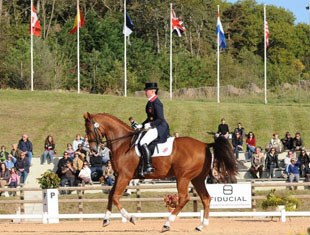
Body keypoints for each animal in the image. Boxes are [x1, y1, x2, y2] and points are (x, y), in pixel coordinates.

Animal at [83, 113, 237, 232]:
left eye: (89, 130)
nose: (94, 150)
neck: (123, 143)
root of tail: (205, 145)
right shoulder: (118, 176)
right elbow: (110, 196)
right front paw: (106, 220)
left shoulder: (124, 176)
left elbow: (115, 197)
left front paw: (131, 218)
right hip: (197, 179)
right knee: (206, 198)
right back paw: (201, 226)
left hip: (183, 177)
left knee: (184, 198)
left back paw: (167, 224)